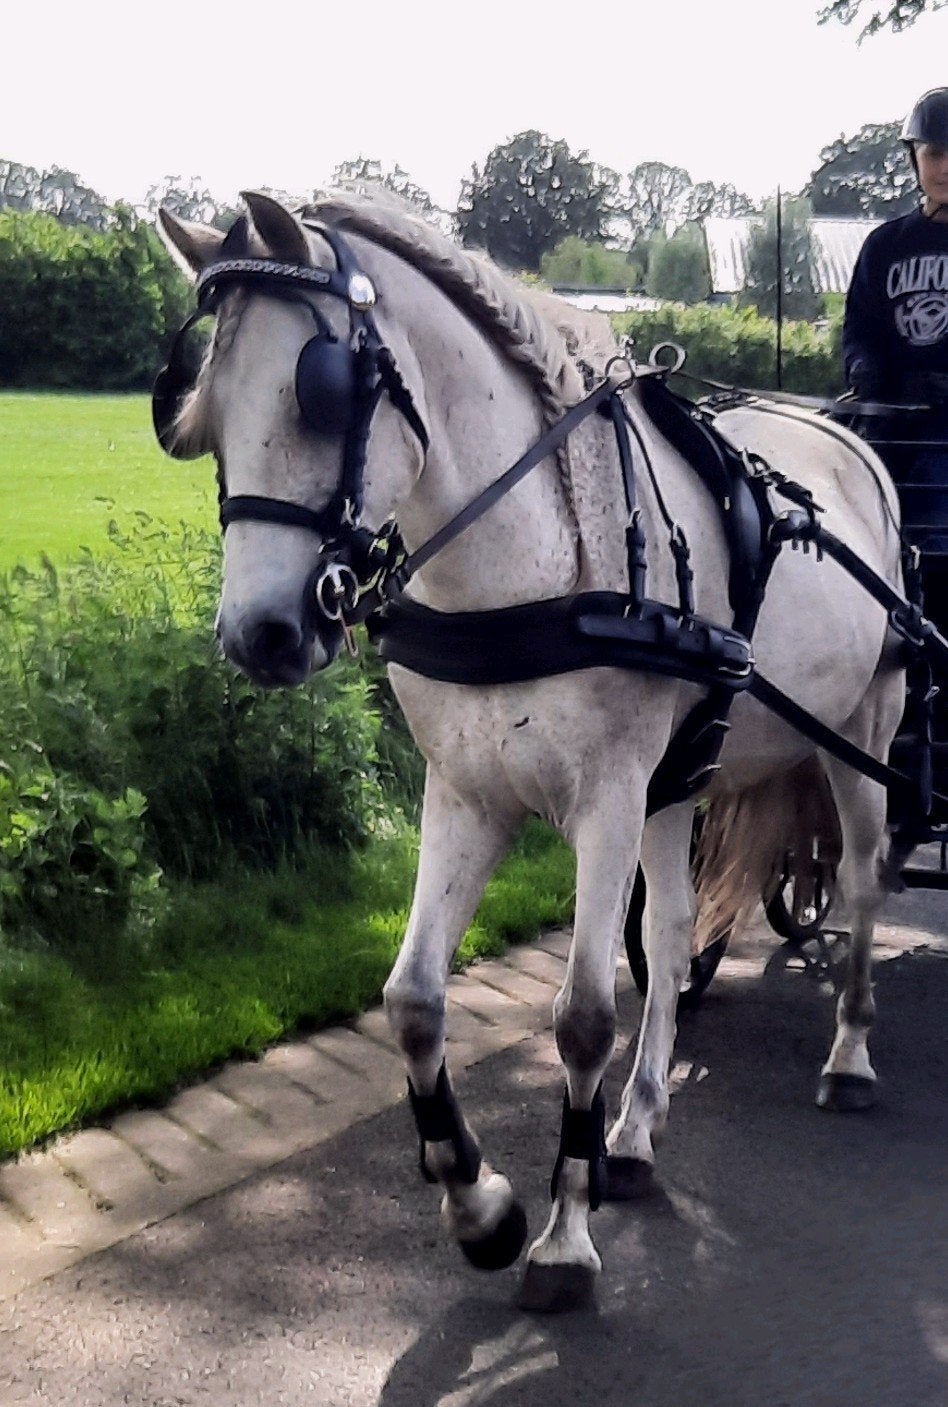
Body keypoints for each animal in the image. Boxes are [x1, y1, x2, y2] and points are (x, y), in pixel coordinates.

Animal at [154, 190, 905, 1311]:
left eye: (321, 395)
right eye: (198, 418)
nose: (261, 637)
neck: (527, 562)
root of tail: (842, 440)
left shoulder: (605, 800)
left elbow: (584, 1015)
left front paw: (563, 1233)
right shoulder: (469, 793)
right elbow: (414, 1000)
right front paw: (483, 1207)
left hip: (861, 733)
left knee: (858, 879)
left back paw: (849, 1057)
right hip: (684, 775)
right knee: (674, 930)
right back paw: (633, 1132)